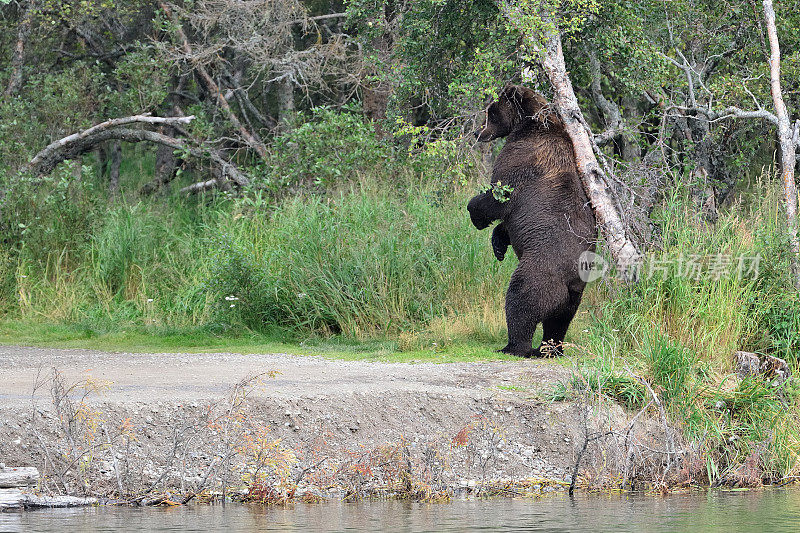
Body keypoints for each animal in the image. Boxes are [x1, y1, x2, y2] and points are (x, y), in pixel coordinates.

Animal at [466, 85, 596, 358]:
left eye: (490, 112)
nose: (476, 131)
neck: (529, 124)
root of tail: (566, 285)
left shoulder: (523, 159)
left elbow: (498, 196)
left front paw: (476, 216)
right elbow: (506, 223)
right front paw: (498, 245)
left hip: (539, 273)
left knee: (521, 301)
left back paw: (514, 346)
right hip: (575, 296)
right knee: (558, 322)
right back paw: (551, 348)